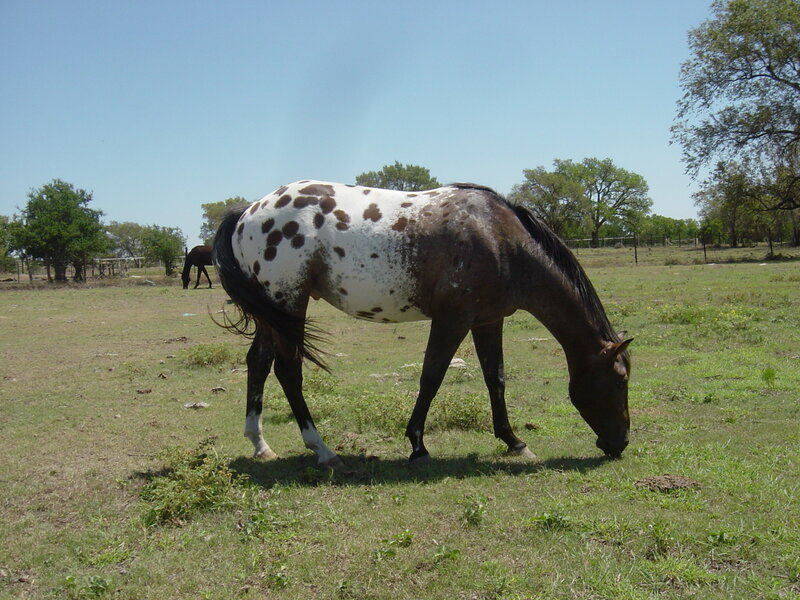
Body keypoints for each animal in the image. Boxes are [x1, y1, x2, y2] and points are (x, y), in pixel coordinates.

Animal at [212, 180, 632, 468]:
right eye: (619, 380)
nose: (621, 443)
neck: (499, 238)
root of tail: (249, 210)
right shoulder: (452, 320)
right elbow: (431, 377)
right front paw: (417, 444)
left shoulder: (488, 320)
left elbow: (495, 378)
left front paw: (513, 441)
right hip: (289, 305)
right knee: (288, 371)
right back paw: (323, 450)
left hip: (274, 313)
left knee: (258, 363)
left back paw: (260, 444)